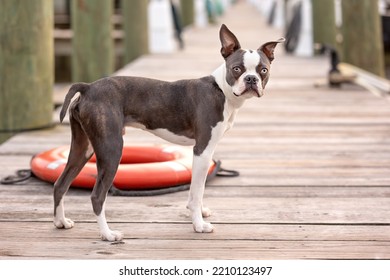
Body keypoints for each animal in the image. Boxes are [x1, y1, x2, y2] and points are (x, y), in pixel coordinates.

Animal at [54, 24, 284, 241]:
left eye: (263, 70)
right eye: (237, 69)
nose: (251, 79)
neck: (221, 90)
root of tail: (88, 87)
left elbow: (198, 190)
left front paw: (200, 213)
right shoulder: (202, 150)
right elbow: (196, 192)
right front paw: (199, 225)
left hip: (83, 147)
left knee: (61, 184)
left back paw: (61, 222)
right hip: (111, 149)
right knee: (97, 196)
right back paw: (108, 234)